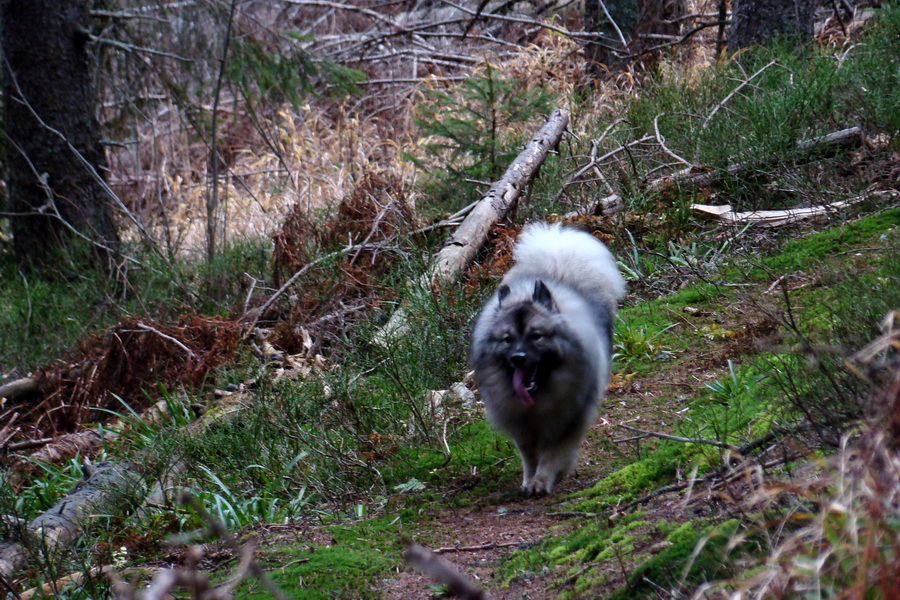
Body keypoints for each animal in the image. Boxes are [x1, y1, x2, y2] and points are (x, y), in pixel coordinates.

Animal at [472, 223, 624, 494]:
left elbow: (552, 454)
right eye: (507, 339)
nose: (518, 358)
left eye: (536, 336)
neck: (539, 397)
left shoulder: (567, 419)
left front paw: (542, 480)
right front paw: (529, 480)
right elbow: (529, 456)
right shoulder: (522, 427)